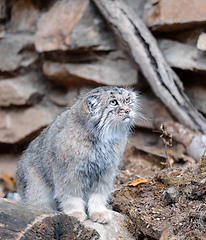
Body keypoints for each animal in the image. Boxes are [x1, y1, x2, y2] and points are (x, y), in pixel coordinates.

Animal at [16, 86, 141, 223]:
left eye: (128, 100)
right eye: (113, 102)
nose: (128, 110)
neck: (102, 141)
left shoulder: (106, 172)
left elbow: (99, 194)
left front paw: (98, 211)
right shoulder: (69, 173)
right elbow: (71, 195)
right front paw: (75, 212)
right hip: (37, 188)